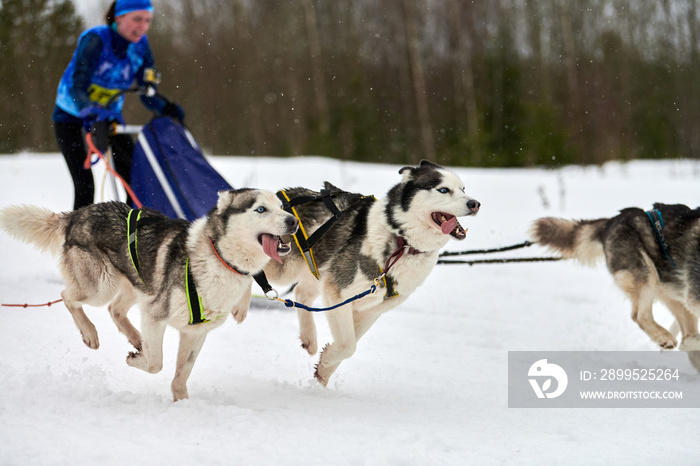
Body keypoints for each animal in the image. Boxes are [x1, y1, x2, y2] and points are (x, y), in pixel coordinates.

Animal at [0, 189, 298, 400]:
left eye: (282, 206)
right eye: (261, 209)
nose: (293, 220)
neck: (219, 260)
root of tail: (77, 214)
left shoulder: (194, 332)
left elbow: (180, 375)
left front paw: (183, 405)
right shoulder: (155, 316)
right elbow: (156, 364)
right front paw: (137, 360)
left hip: (138, 285)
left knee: (114, 310)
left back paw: (135, 338)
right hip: (102, 286)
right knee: (67, 296)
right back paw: (90, 333)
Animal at [264, 160, 482, 386]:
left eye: (463, 189)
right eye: (443, 190)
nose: (475, 204)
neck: (401, 242)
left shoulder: (372, 309)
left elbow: (350, 344)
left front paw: (324, 371)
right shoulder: (338, 292)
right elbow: (348, 345)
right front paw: (327, 360)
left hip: (316, 272)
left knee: (301, 293)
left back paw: (310, 339)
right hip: (282, 269)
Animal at [532, 202, 700, 352]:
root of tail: (613, 219)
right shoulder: (693, 299)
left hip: (671, 289)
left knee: (687, 335)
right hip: (647, 275)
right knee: (640, 316)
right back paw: (663, 336)